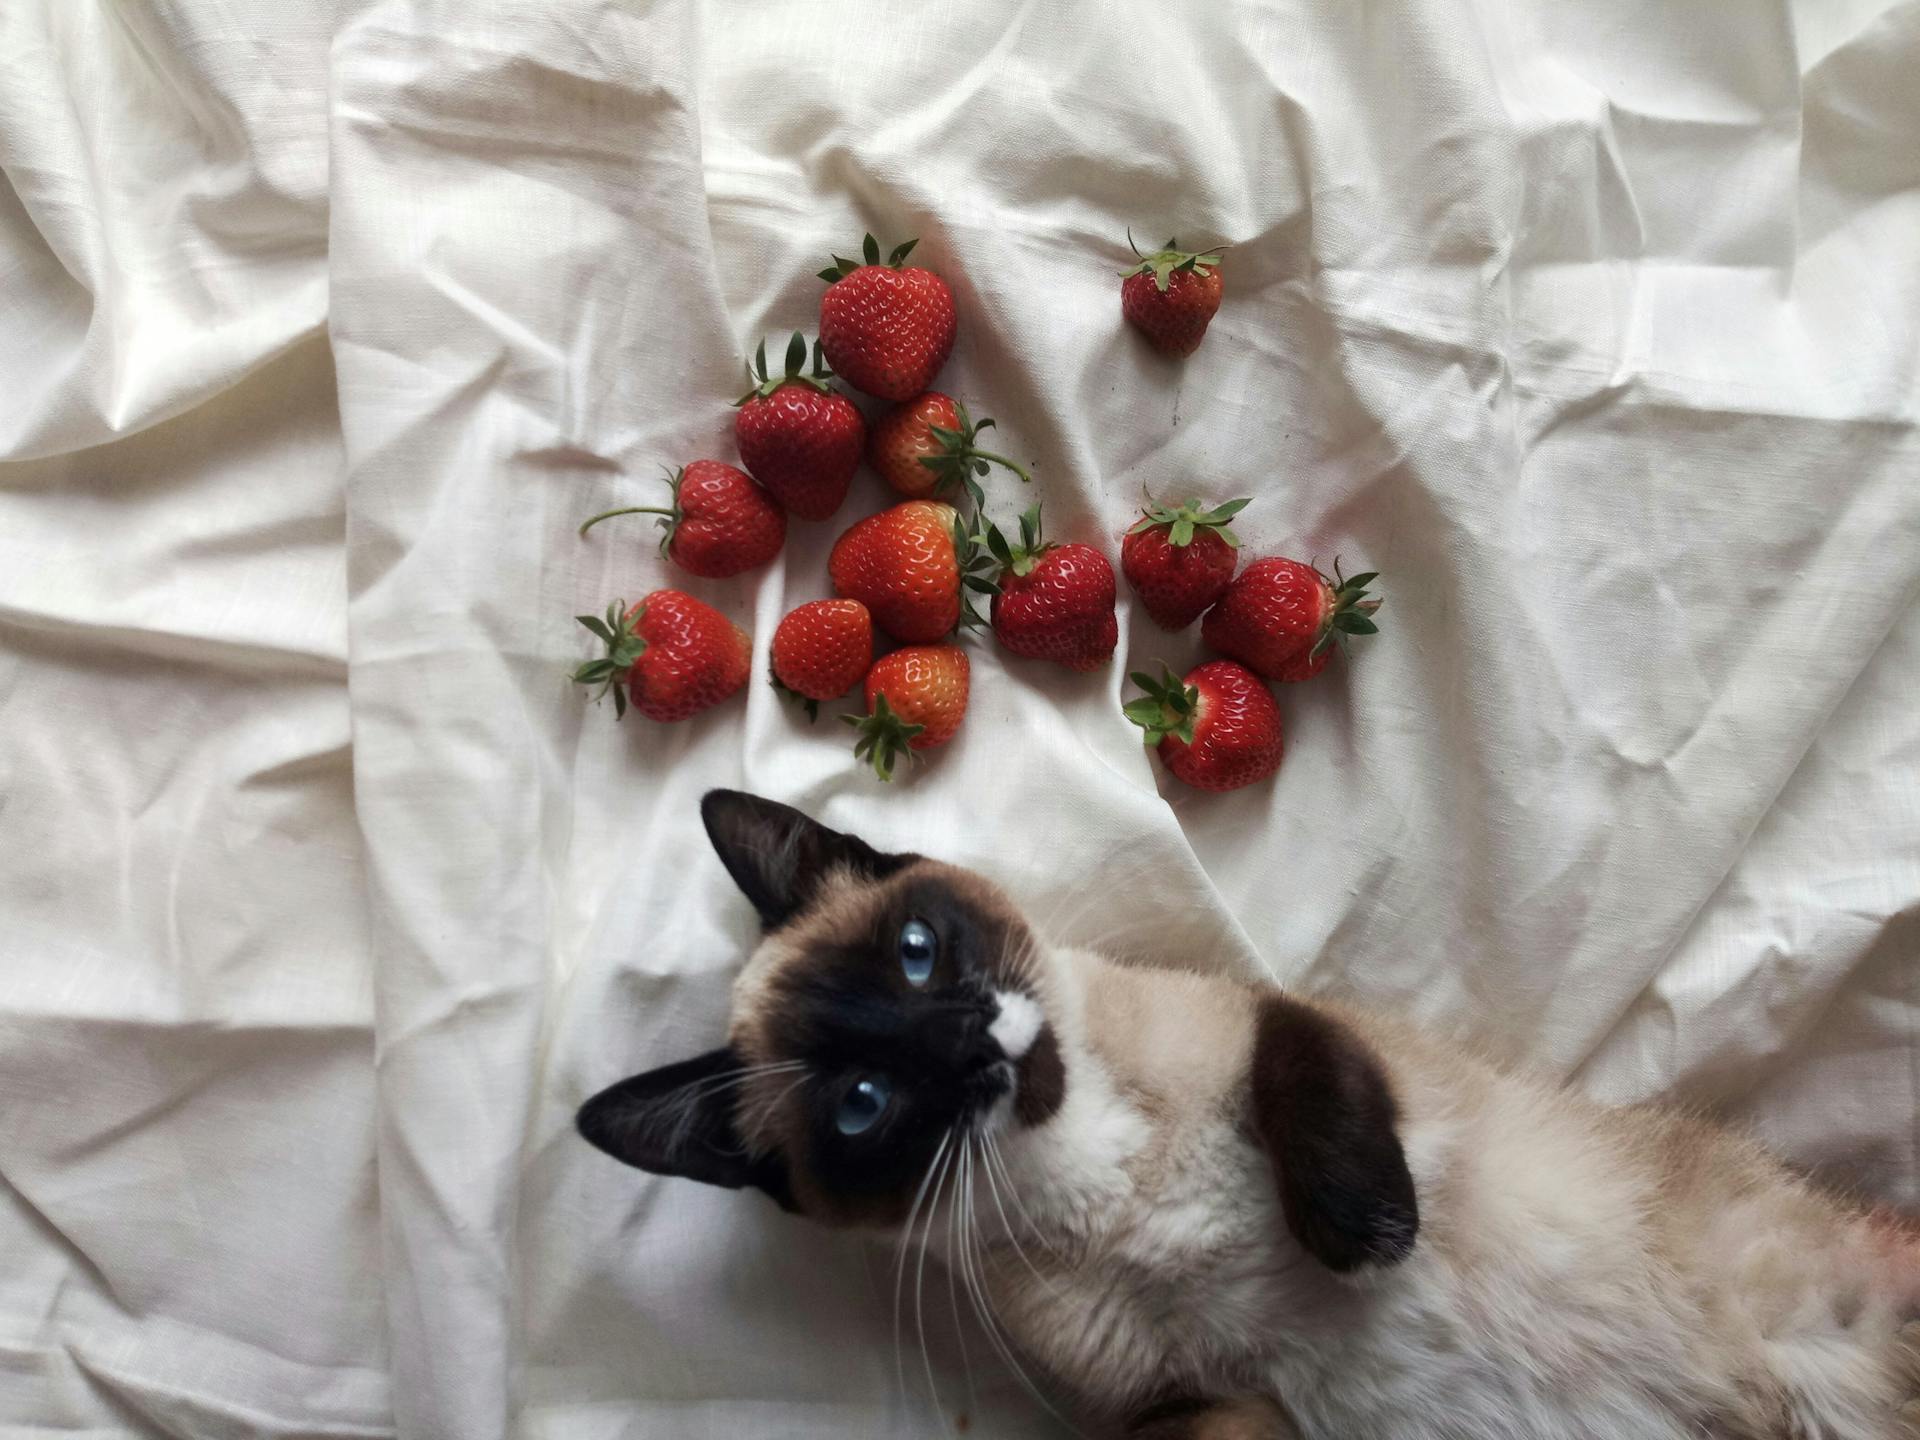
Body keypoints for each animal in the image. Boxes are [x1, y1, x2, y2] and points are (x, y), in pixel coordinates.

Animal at [572, 794, 1920, 1436]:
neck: (1100, 1171)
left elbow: (1297, 1066)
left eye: (916, 953)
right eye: (865, 1105)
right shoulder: (1200, 1407)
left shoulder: (1284, 1023)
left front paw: (1365, 1235)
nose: (968, 1047)